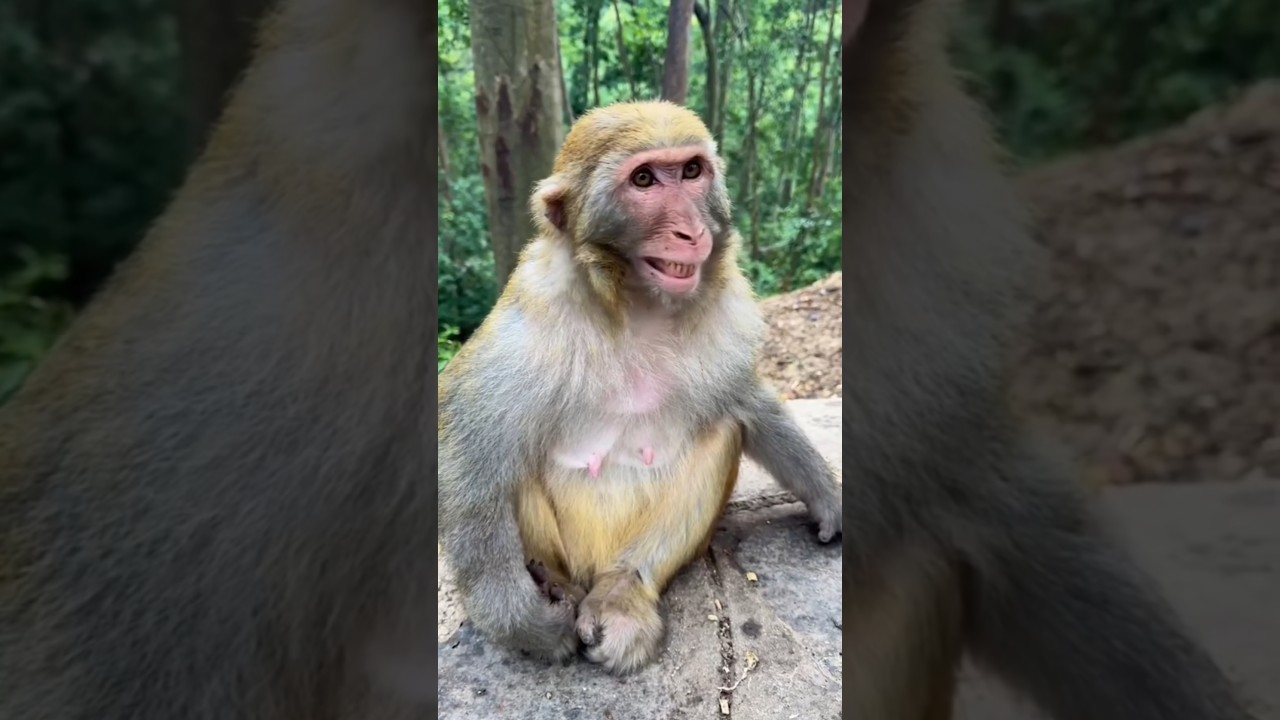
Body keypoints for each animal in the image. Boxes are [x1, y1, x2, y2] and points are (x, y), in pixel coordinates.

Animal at [436, 100, 843, 675]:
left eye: (692, 171)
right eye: (644, 179)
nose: (691, 231)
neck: (635, 304)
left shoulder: (726, 310)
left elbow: (745, 398)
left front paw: (824, 492)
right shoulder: (529, 319)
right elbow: (465, 439)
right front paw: (522, 619)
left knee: (723, 430)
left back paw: (623, 594)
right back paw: (550, 586)